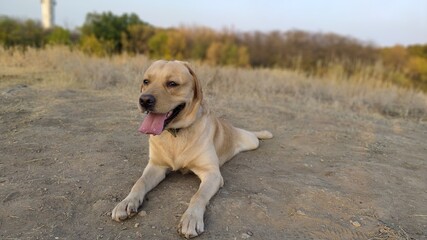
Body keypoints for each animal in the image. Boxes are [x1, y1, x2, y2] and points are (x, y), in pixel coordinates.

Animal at [112, 60, 272, 238]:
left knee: (253, 135)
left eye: (172, 83)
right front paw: (126, 202)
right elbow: (139, 182)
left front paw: (191, 219)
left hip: (251, 141)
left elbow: (198, 195)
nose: (144, 100)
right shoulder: (156, 166)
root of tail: (231, 126)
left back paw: (264, 133)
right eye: (146, 81)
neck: (176, 134)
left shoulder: (212, 174)